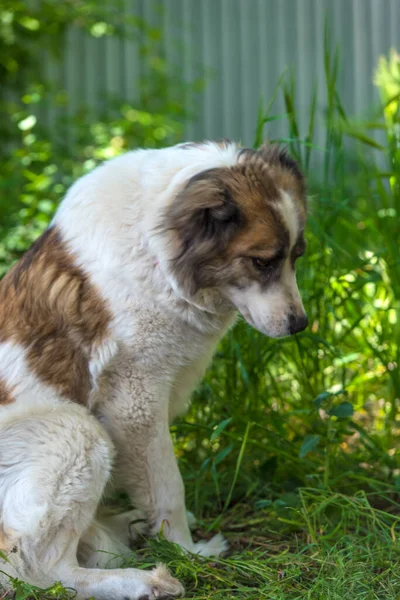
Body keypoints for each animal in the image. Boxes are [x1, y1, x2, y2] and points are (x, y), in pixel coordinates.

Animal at [0, 138, 308, 596]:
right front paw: (187, 551)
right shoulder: (135, 402)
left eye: (295, 257)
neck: (155, 248)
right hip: (75, 430)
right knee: (42, 567)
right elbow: (167, 487)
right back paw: (142, 582)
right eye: (262, 261)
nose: (300, 324)